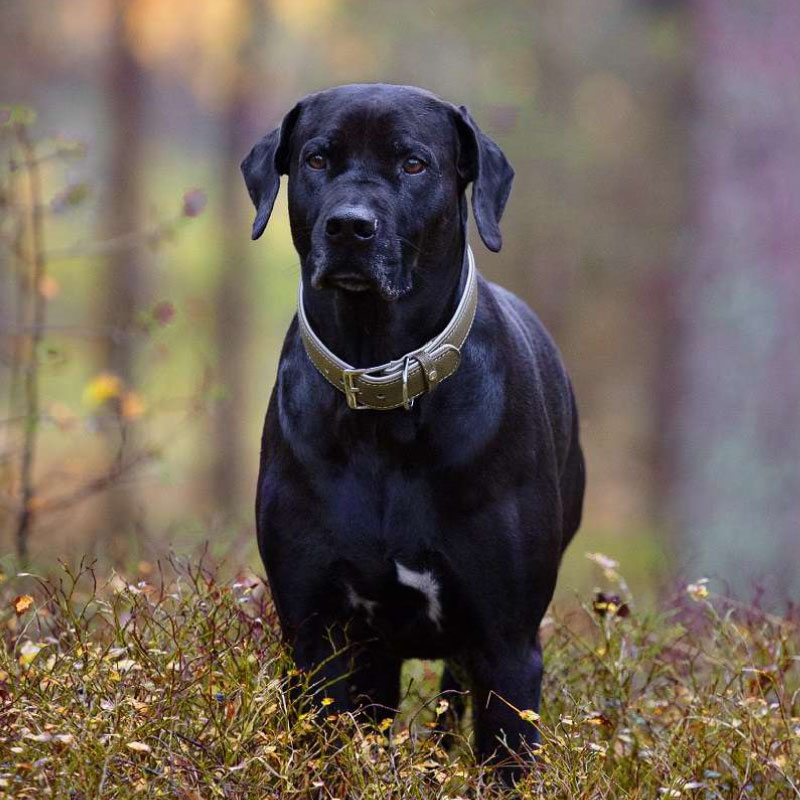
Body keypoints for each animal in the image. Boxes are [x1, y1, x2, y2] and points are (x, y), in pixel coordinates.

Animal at [241, 84, 584, 772]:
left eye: (413, 164)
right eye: (316, 158)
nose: (349, 225)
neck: (383, 392)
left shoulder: (508, 644)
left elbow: (506, 756)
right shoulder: (316, 634)